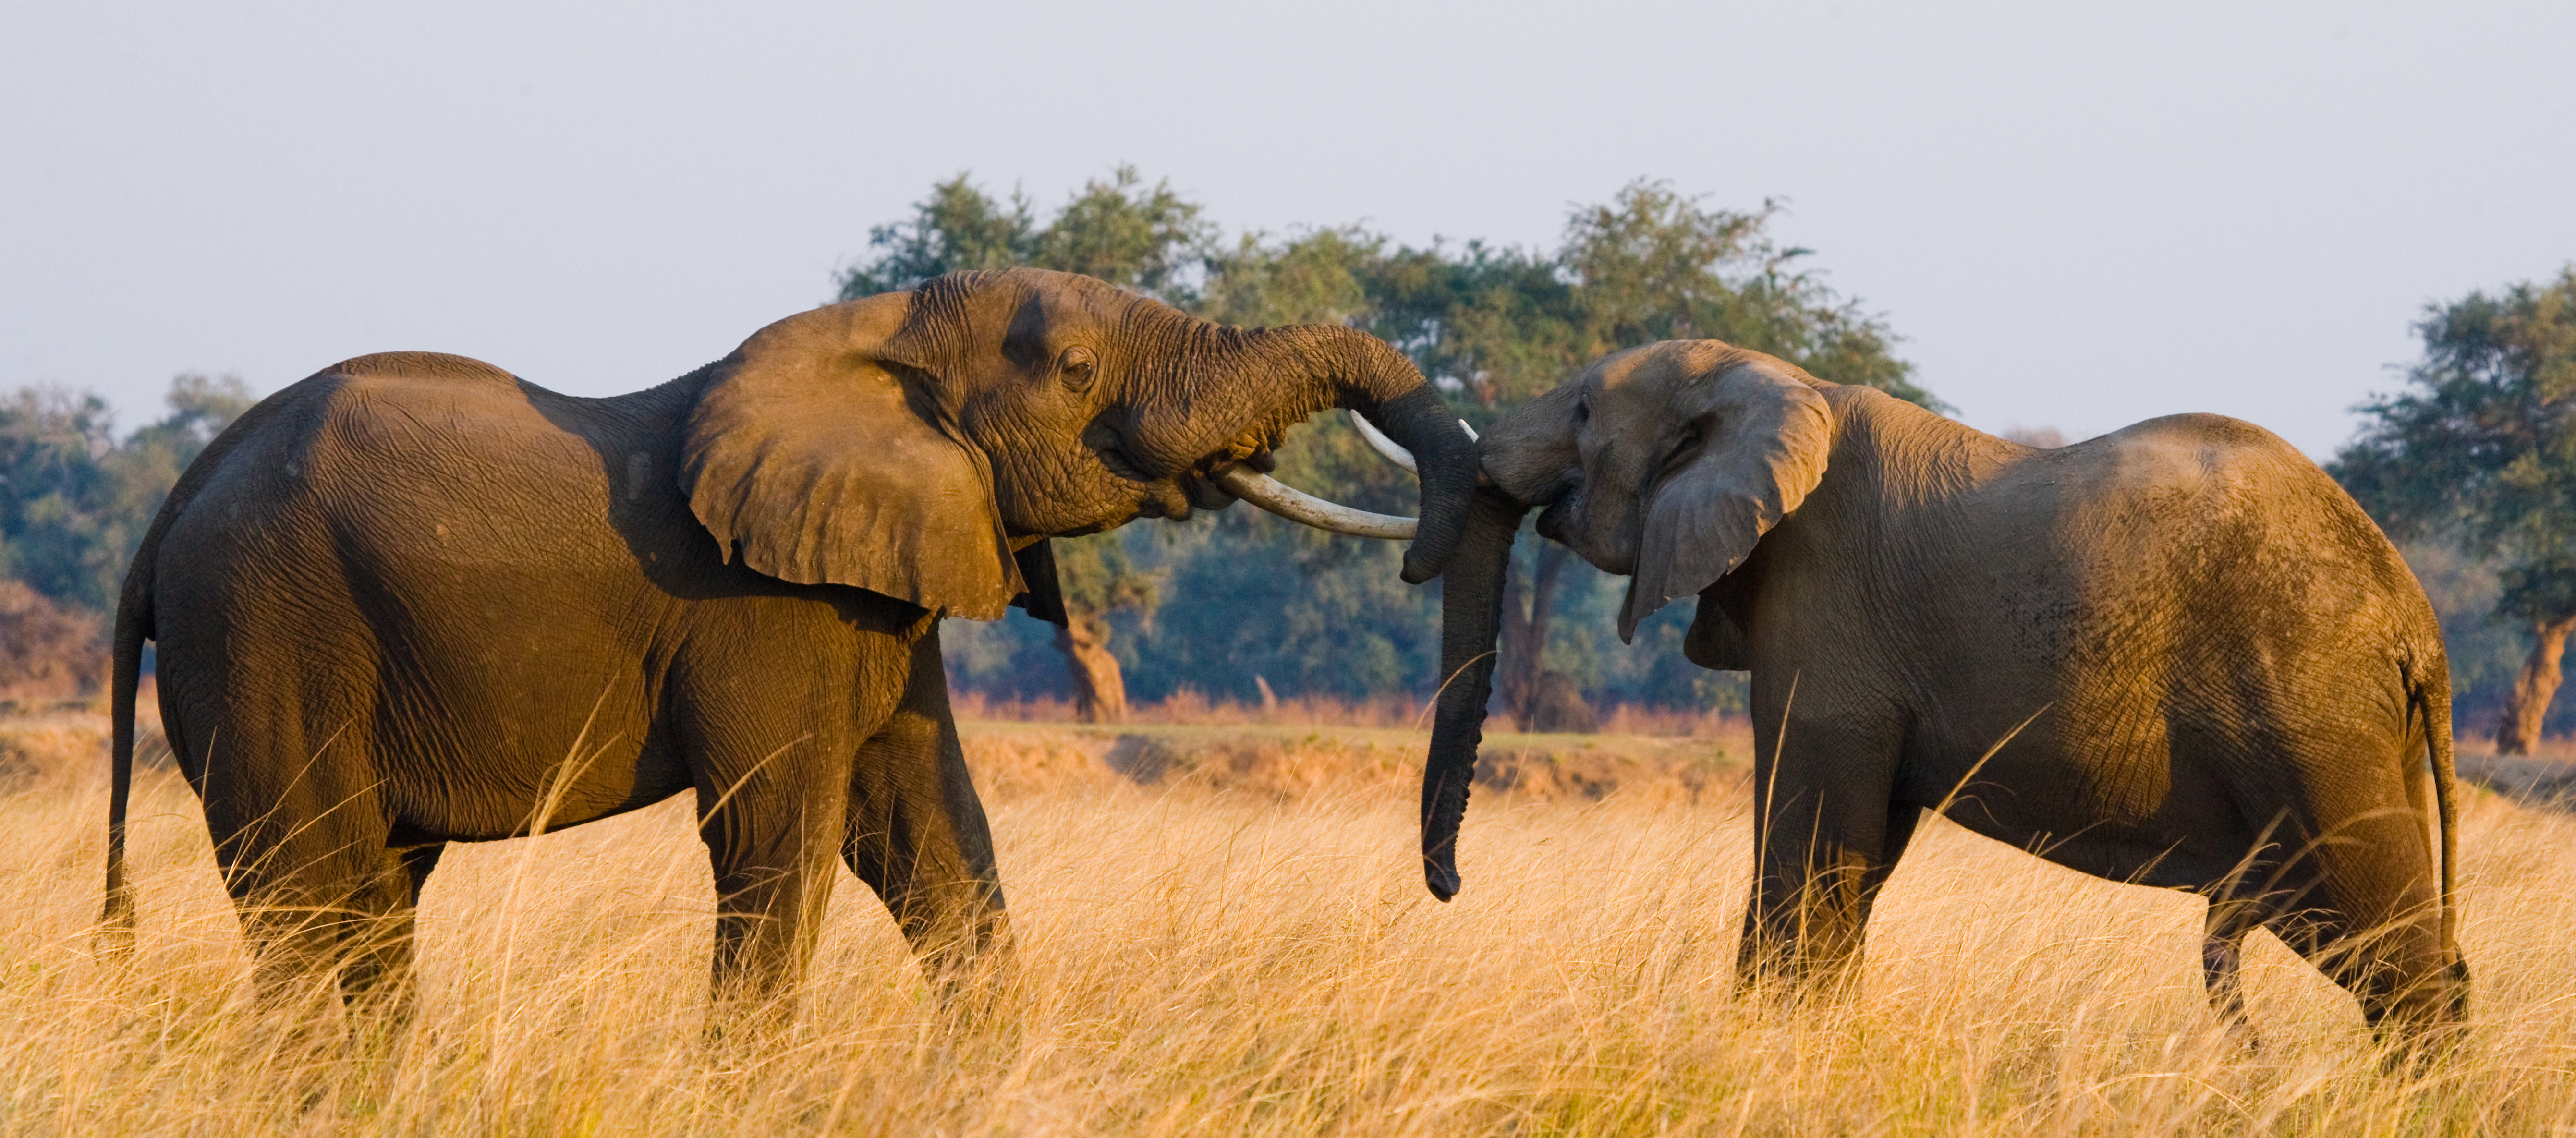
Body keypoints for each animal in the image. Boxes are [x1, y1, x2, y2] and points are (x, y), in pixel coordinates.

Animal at [98, 267, 1477, 1017]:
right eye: (1079, 370)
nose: (1445, 884)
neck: (879, 330)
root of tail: (170, 510)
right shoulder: (764, 612)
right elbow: (781, 840)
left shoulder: (883, 582)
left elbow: (934, 837)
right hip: (264, 631)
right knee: (306, 893)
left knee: (375, 900)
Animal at [1408, 339, 2468, 1047]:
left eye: (1585, 412)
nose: (1449, 887)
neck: (1774, 380)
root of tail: (2417, 623)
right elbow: (1857, 857)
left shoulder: (1826, 613)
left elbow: (1811, 847)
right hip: (2357, 744)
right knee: (2400, 949)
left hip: (2314, 724)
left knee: (2391, 954)